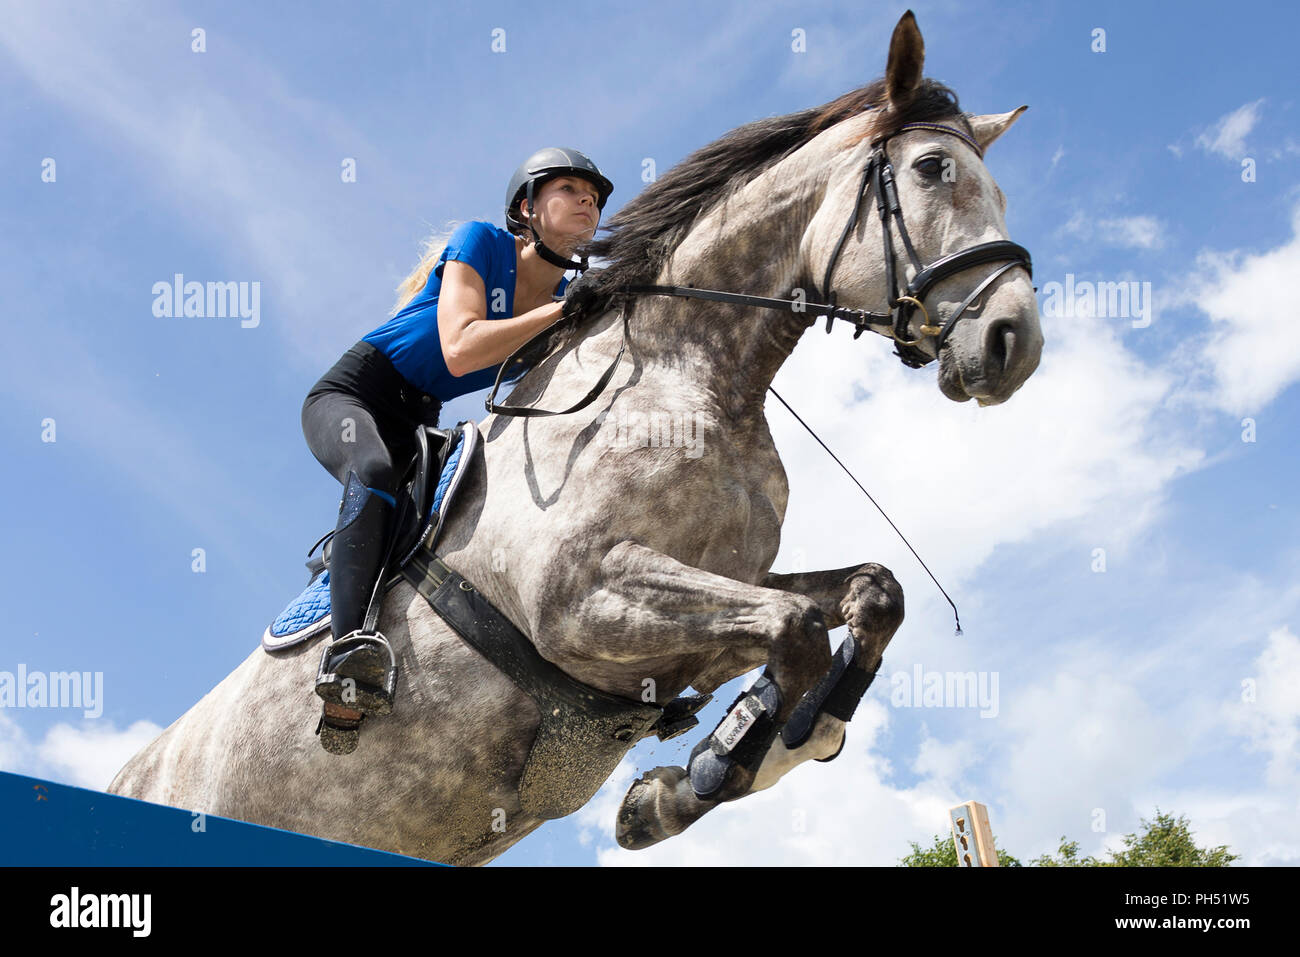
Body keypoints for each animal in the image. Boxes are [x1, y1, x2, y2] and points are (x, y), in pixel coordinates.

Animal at [106, 11, 1040, 863]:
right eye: (931, 169)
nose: (1015, 343)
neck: (693, 377)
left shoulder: (717, 593)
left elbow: (869, 596)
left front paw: (706, 773)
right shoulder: (582, 598)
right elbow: (798, 627)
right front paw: (693, 780)